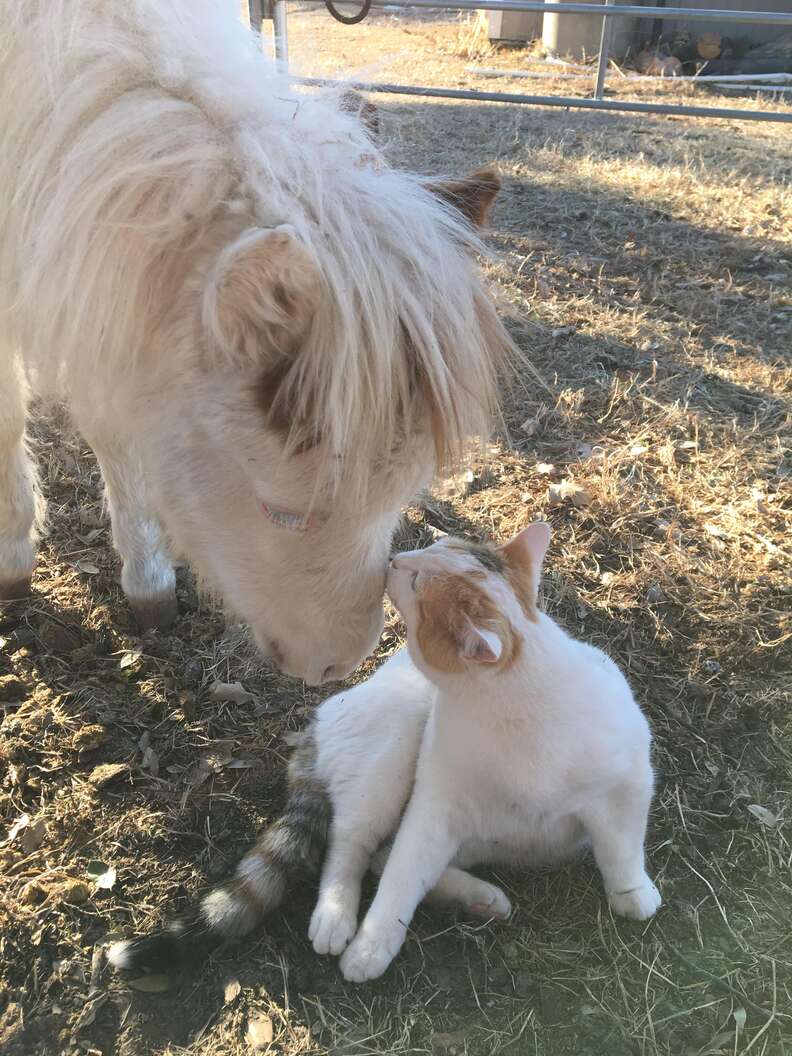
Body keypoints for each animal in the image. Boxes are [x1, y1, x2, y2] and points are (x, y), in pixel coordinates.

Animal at [0, 0, 515, 680]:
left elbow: (115, 424)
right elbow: (9, 418)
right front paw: (13, 559)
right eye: (282, 511)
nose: (337, 665)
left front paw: (148, 584)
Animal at [108, 519, 658, 979]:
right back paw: (337, 916)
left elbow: (622, 849)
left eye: (417, 581)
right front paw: (372, 945)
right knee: (353, 847)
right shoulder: (434, 809)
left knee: (383, 855)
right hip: (392, 749)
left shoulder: (628, 787)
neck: (518, 706)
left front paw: (632, 893)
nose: (394, 558)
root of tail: (317, 723)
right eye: (432, 549)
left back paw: (481, 898)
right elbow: (399, 880)